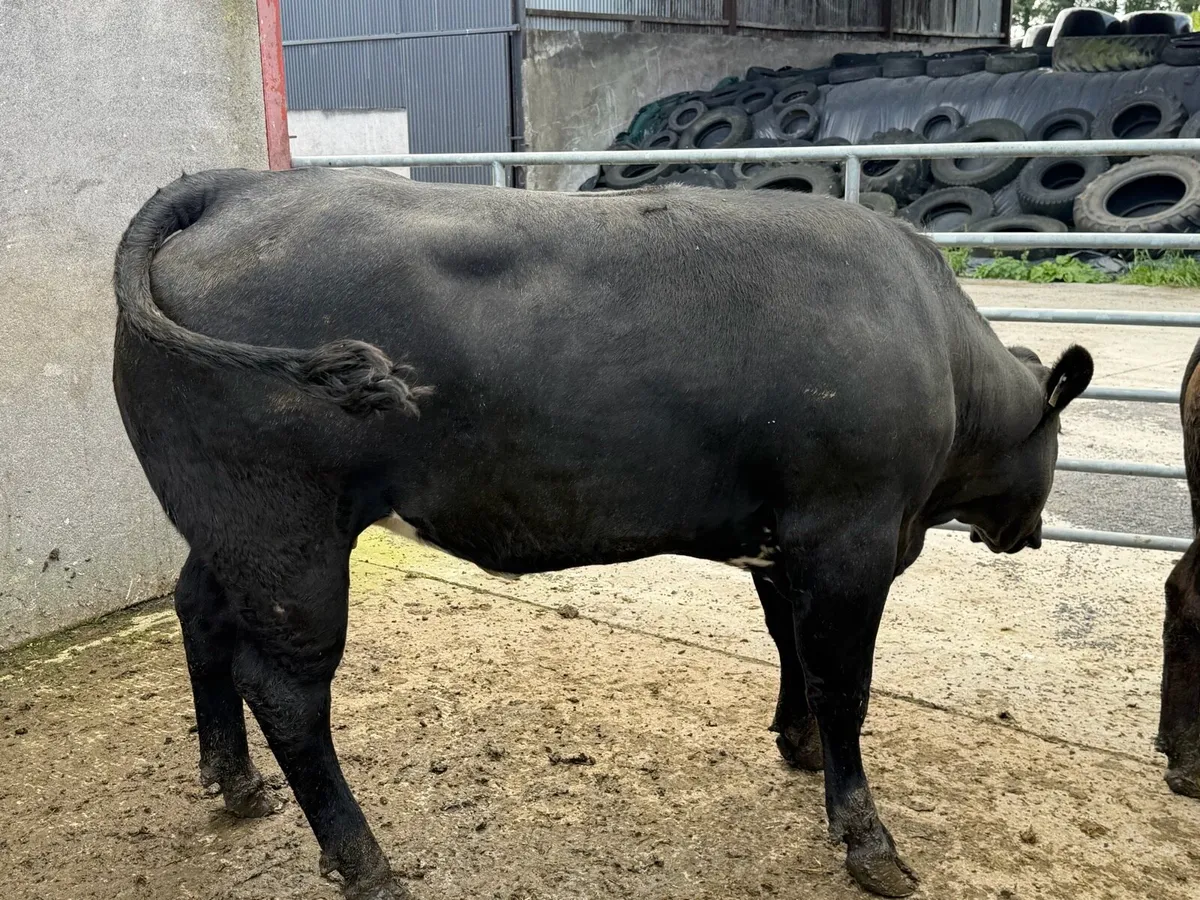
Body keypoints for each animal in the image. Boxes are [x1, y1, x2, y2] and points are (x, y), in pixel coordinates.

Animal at [112, 167, 1094, 899]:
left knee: (198, 612)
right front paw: (867, 840)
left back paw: (234, 783)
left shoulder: (780, 538)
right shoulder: (849, 532)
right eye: (1056, 440)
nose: (1035, 535)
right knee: (286, 690)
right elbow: (843, 684)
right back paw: (365, 864)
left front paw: (799, 744)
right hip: (289, 536)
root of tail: (235, 186)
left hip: (226, 522)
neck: (943, 355)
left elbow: (790, 649)